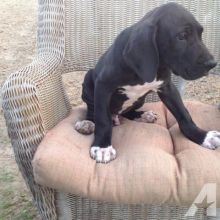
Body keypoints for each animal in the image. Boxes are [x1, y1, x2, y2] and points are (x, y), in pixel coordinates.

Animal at [75, 2, 219, 162]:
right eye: (182, 36)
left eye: (201, 34)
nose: (212, 63)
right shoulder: (103, 86)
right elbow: (102, 119)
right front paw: (102, 147)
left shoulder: (167, 88)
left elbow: (184, 114)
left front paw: (202, 136)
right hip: (89, 81)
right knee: (93, 110)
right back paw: (86, 123)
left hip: (139, 100)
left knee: (127, 112)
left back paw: (144, 115)